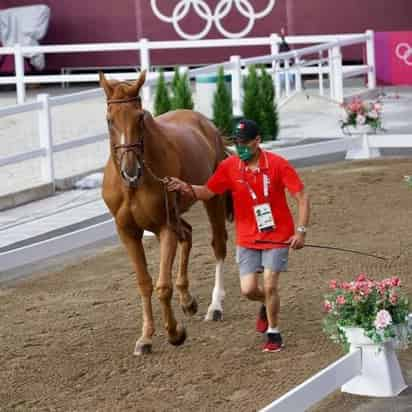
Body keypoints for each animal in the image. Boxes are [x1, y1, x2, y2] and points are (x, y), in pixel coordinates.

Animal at [99, 71, 229, 354]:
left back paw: (215, 306)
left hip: (211, 200)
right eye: (109, 120)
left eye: (140, 117)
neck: (132, 187)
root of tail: (206, 124)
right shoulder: (128, 232)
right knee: (188, 234)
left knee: (218, 245)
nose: (130, 171)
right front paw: (146, 337)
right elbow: (144, 282)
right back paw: (188, 300)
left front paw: (175, 333)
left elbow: (162, 286)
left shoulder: (164, 228)